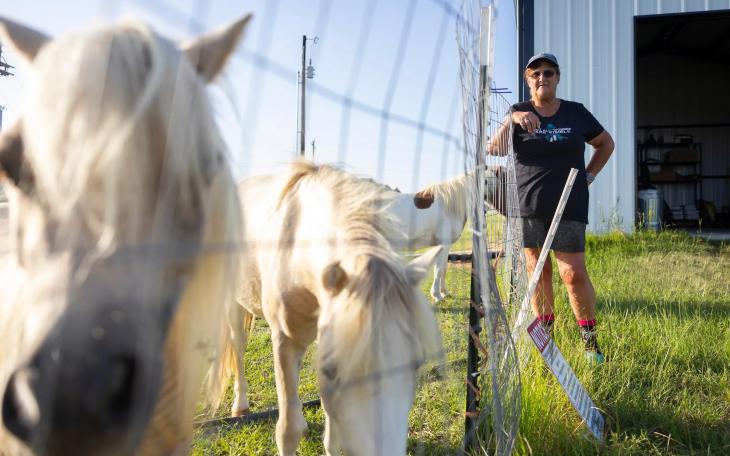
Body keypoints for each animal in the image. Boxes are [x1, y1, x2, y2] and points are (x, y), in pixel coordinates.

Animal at [212, 161, 443, 455]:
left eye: (416, 364)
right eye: (333, 371)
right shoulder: (284, 342)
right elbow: (288, 430)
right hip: (234, 305)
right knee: (238, 347)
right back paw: (240, 405)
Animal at [386, 166, 506, 302]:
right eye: (485, 181)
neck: (448, 205)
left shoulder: (446, 245)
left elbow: (443, 268)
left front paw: (444, 292)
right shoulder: (442, 244)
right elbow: (438, 269)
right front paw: (437, 296)